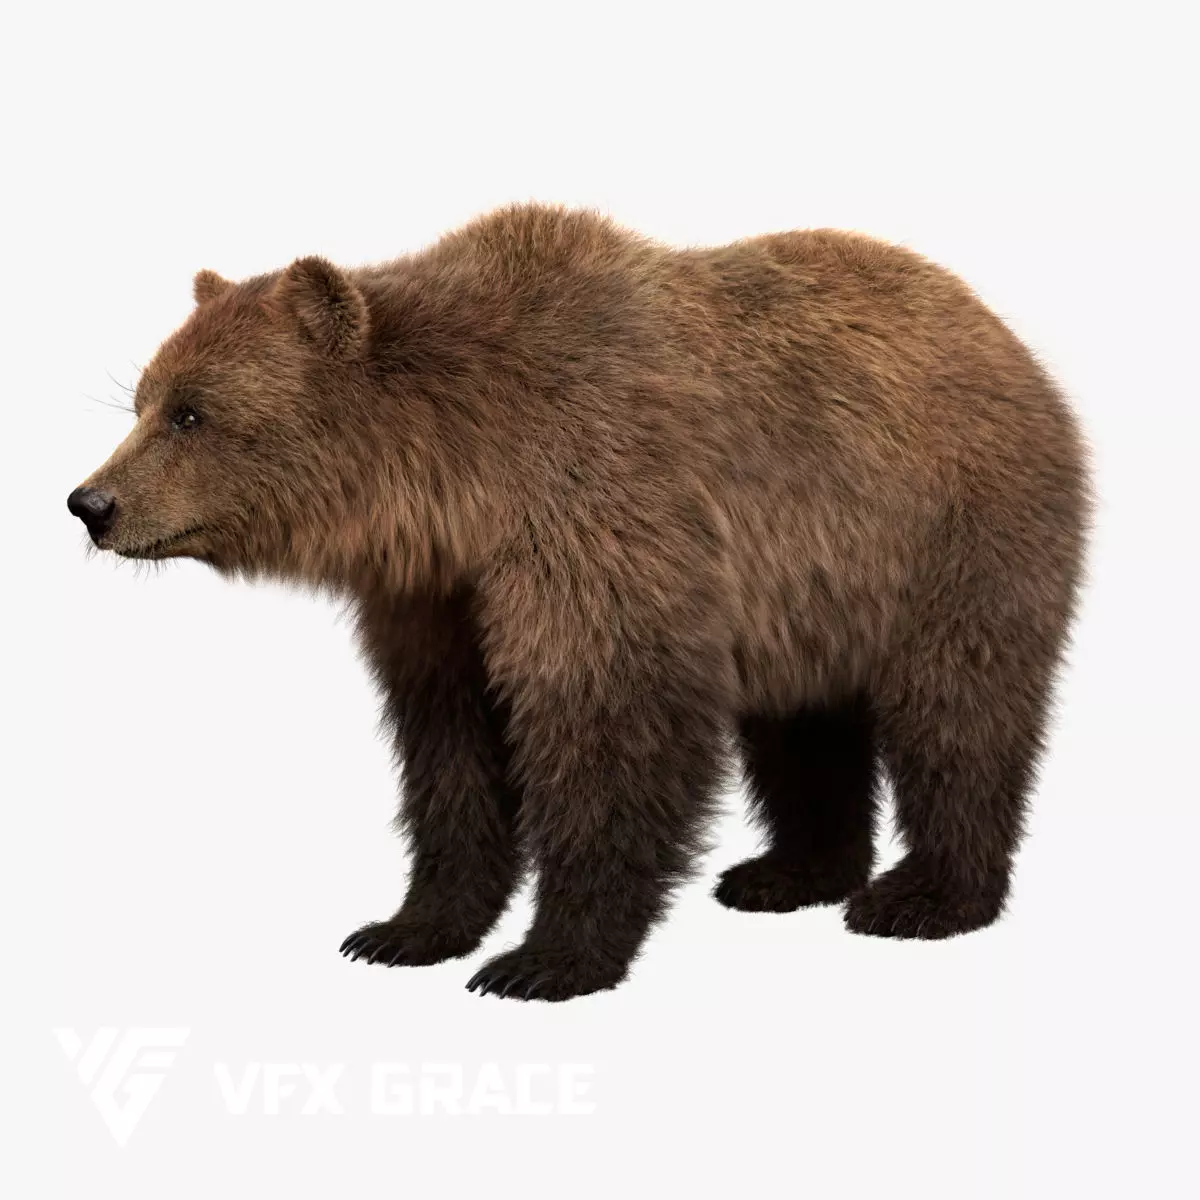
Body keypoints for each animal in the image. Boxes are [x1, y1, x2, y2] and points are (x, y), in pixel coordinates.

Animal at [68, 203, 1090, 1001]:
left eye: (192, 412)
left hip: (946, 532)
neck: (455, 478)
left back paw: (924, 897)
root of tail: (1009, 338)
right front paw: (404, 929)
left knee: (958, 707)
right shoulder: (437, 597)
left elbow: (609, 726)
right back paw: (787, 873)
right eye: (141, 401)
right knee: (803, 725)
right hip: (816, 592)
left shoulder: (594, 505)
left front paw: (543, 959)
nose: (90, 503)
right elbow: (450, 749)